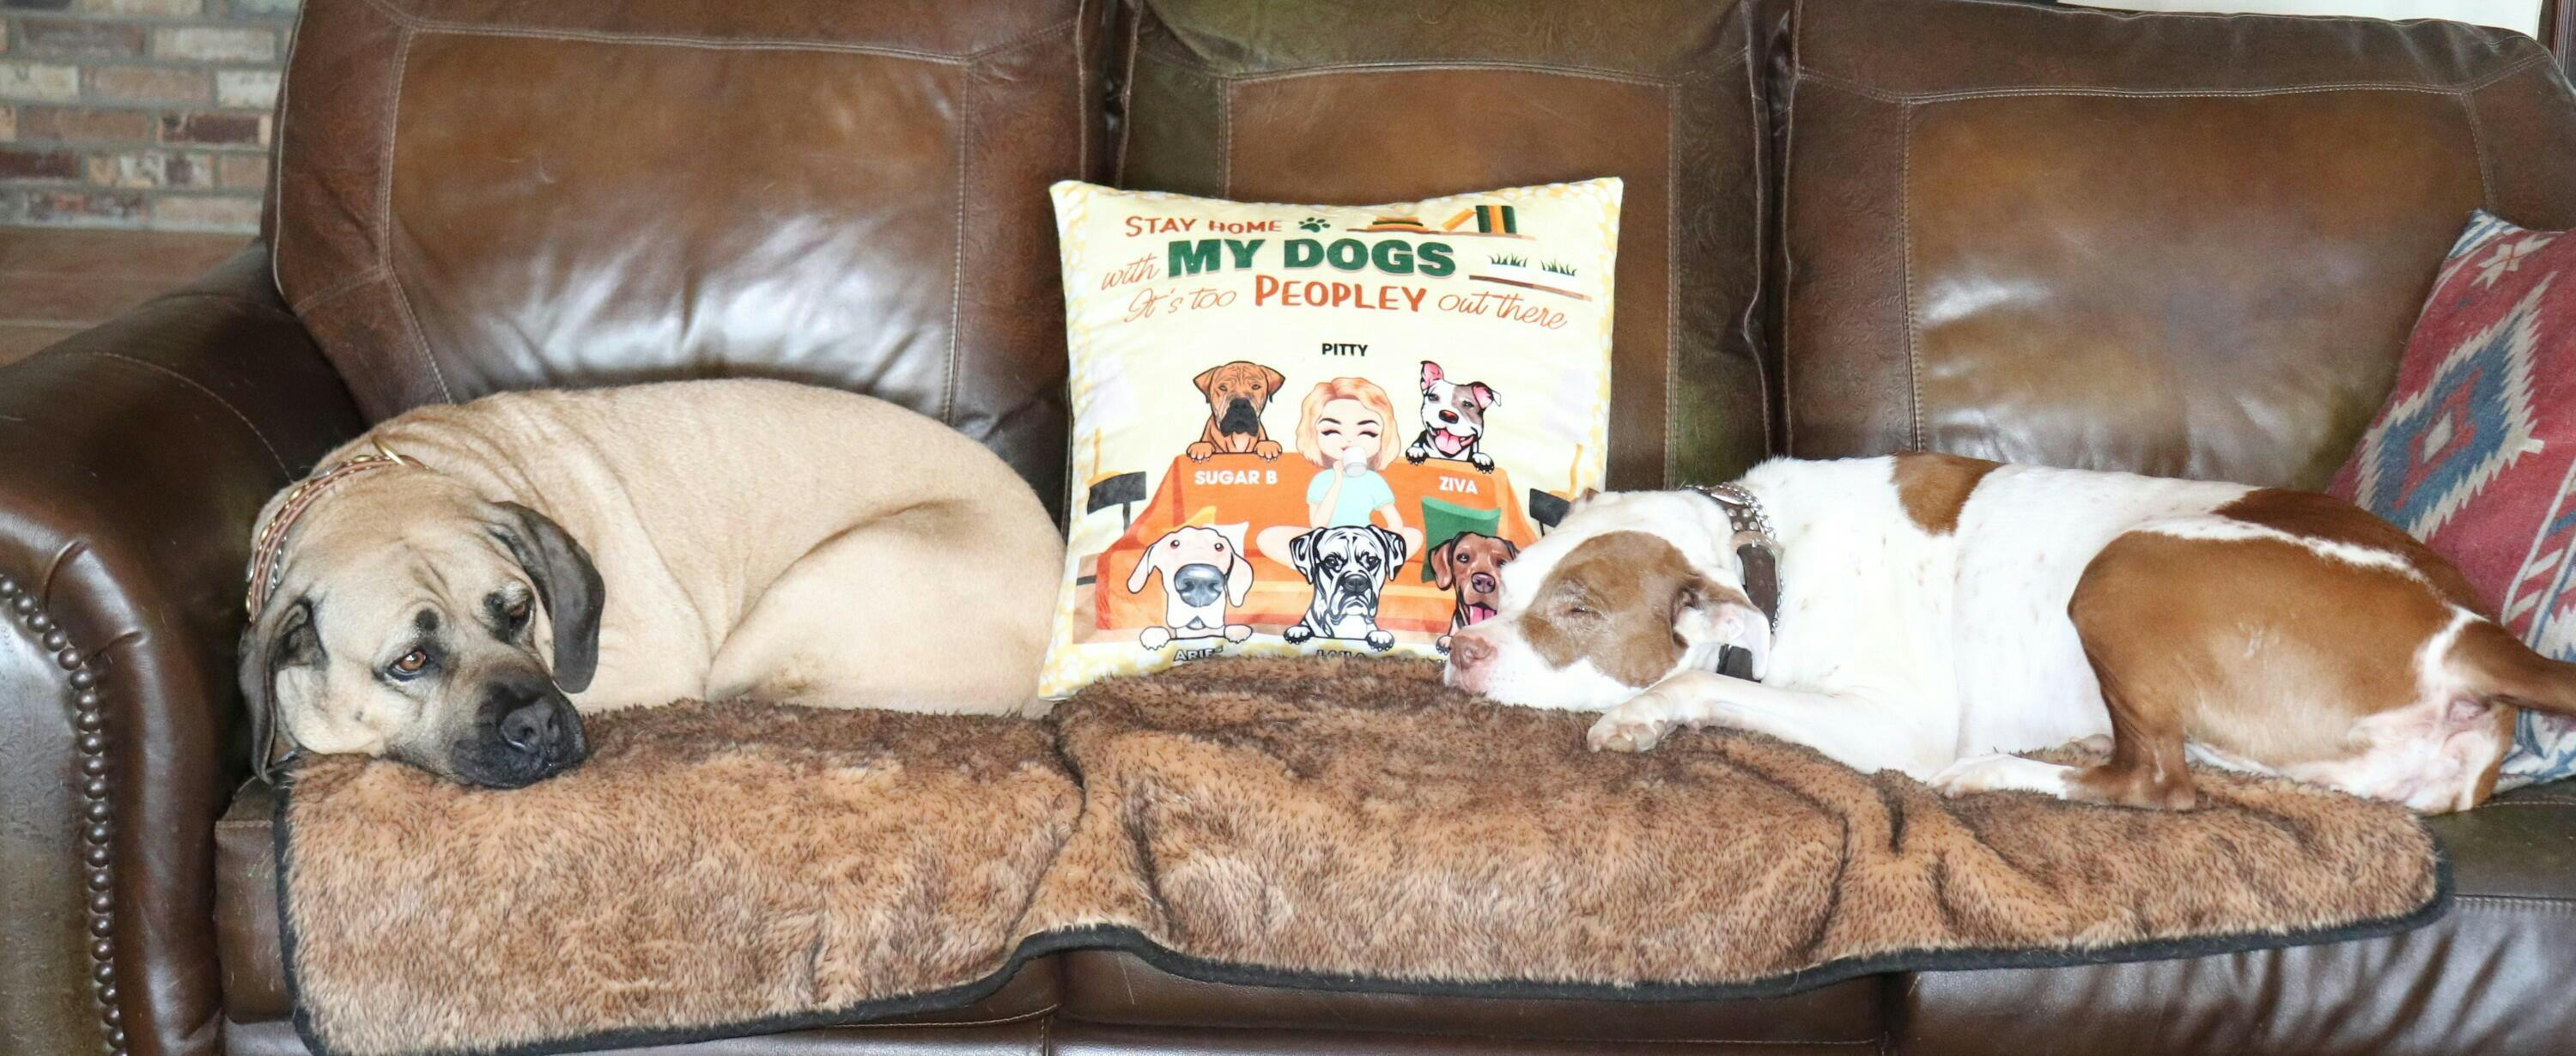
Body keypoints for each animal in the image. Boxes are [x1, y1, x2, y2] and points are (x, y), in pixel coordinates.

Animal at [1444, 453, 2576, 814]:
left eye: (1578, 612)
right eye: (1502, 584)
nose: (1460, 649)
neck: (1763, 557)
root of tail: (2471, 629)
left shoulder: (1890, 723)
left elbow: (1708, 686)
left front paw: (1644, 715)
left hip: (2122, 568)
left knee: (2157, 783)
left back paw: (1991, 775)